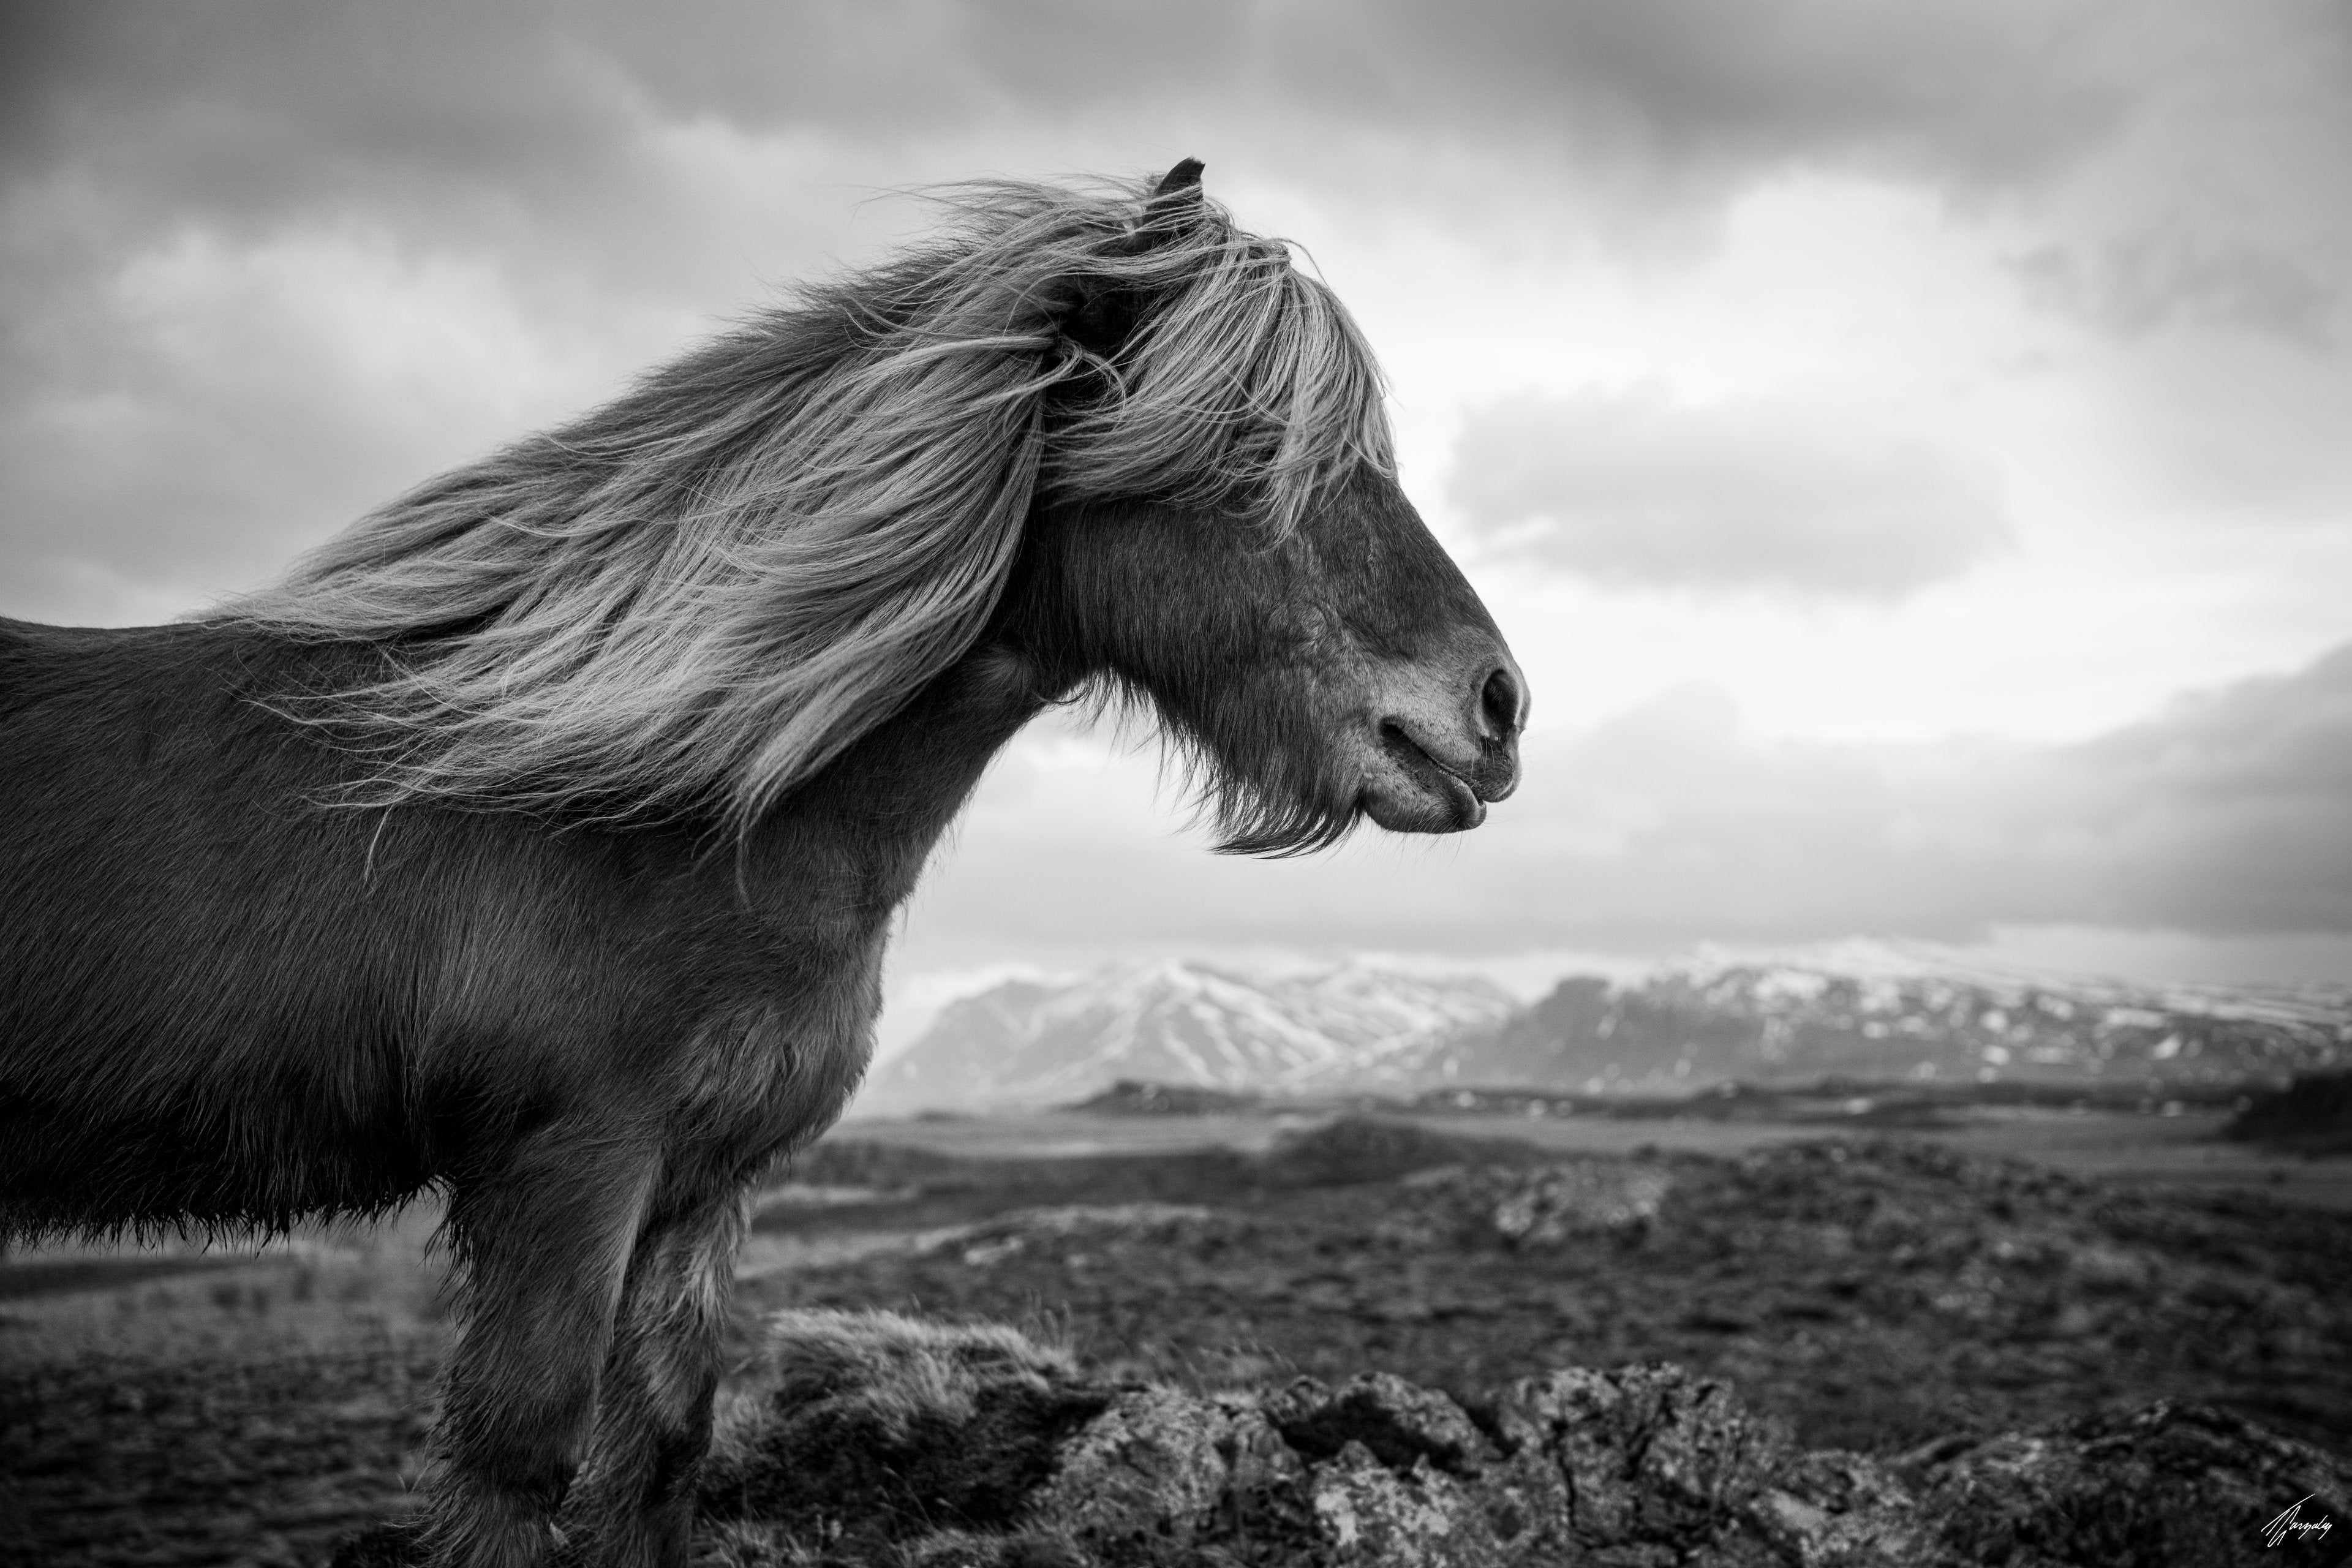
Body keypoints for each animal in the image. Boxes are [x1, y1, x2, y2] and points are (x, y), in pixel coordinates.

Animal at [0, 161, 1525, 1567]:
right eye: (1256, 443)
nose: (1498, 708)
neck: (653, 802)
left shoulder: (704, 1182)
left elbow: (664, 1448)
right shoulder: (570, 1168)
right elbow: (517, 1459)